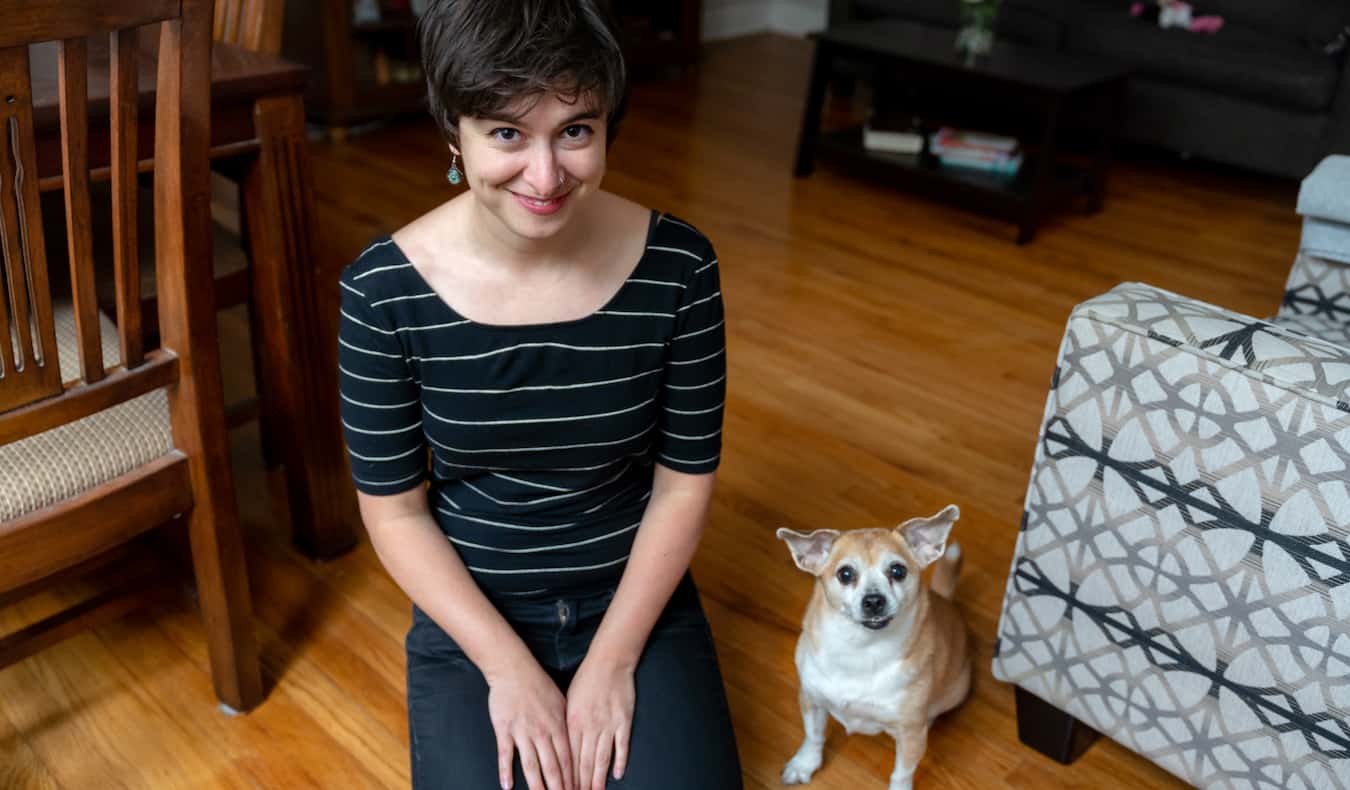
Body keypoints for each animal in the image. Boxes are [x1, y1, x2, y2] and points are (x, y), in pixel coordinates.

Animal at [777, 505, 977, 788]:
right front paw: (804, 764)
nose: (873, 600)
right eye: (845, 574)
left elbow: (902, 773)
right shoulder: (811, 699)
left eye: (898, 571)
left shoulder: (911, 734)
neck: (862, 649)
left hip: (957, 692)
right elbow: (813, 736)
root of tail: (947, 601)